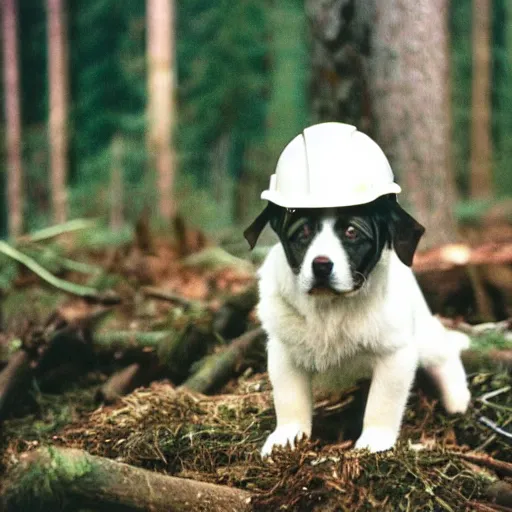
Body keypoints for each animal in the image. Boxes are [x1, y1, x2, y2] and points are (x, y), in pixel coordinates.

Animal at [245, 197, 472, 456]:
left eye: (351, 232)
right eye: (303, 232)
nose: (321, 266)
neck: (330, 307)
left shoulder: (394, 354)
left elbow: (382, 401)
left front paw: (374, 440)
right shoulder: (284, 351)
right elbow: (289, 397)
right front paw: (287, 437)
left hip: (425, 337)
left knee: (443, 350)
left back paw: (456, 397)